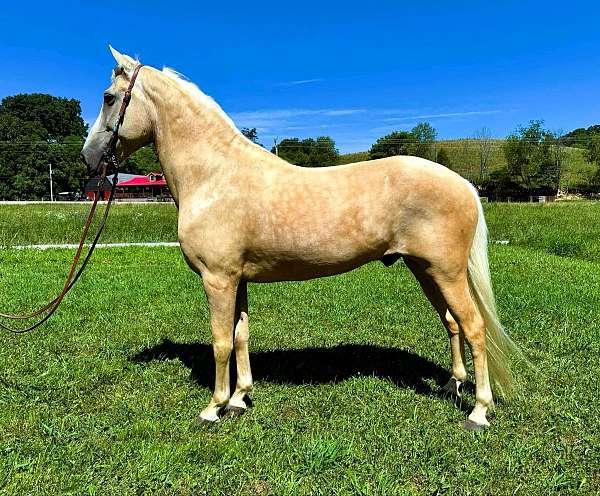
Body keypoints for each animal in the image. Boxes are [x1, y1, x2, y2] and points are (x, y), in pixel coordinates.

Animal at [82, 48, 516, 432]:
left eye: (108, 97)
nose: (89, 158)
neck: (214, 176)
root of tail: (464, 183)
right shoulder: (237, 280)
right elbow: (241, 336)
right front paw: (239, 400)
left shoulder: (217, 279)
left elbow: (221, 342)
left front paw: (213, 408)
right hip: (426, 271)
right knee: (452, 323)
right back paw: (450, 385)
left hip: (446, 272)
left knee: (473, 327)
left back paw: (479, 411)